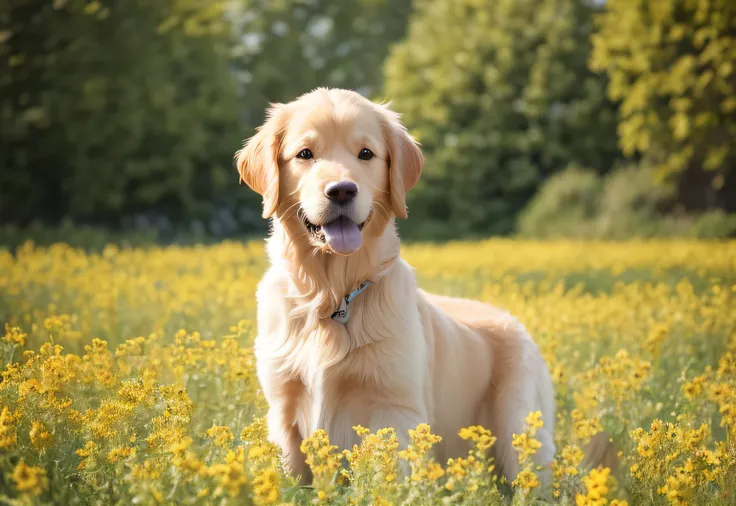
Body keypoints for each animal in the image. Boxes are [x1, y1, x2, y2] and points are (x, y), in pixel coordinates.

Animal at [237, 89, 556, 484]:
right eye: (305, 154)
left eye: (365, 153)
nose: (341, 191)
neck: (333, 296)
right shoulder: (282, 409)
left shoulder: (394, 409)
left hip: (519, 427)